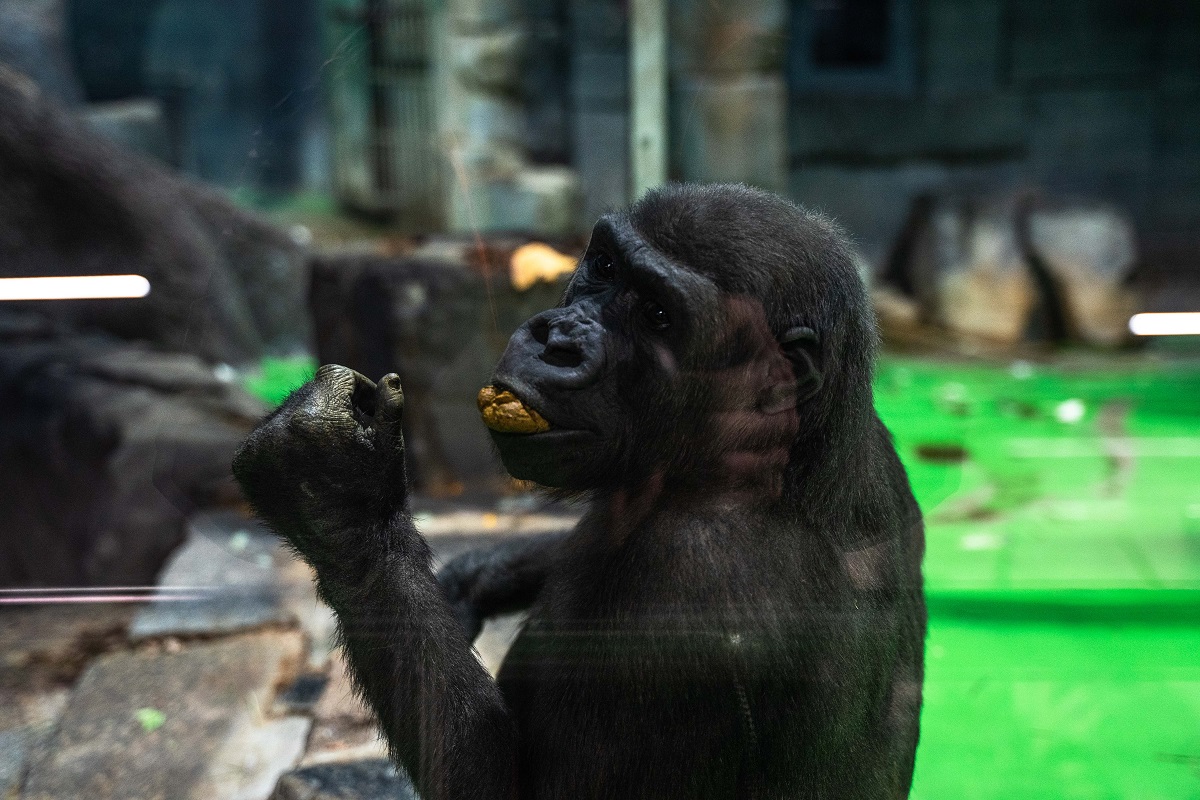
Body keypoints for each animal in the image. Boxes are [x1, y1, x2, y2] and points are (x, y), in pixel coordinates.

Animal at [234, 184, 926, 796]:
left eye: (657, 315)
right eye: (605, 266)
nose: (557, 338)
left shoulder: (695, 587)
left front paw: (334, 493)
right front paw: (481, 576)